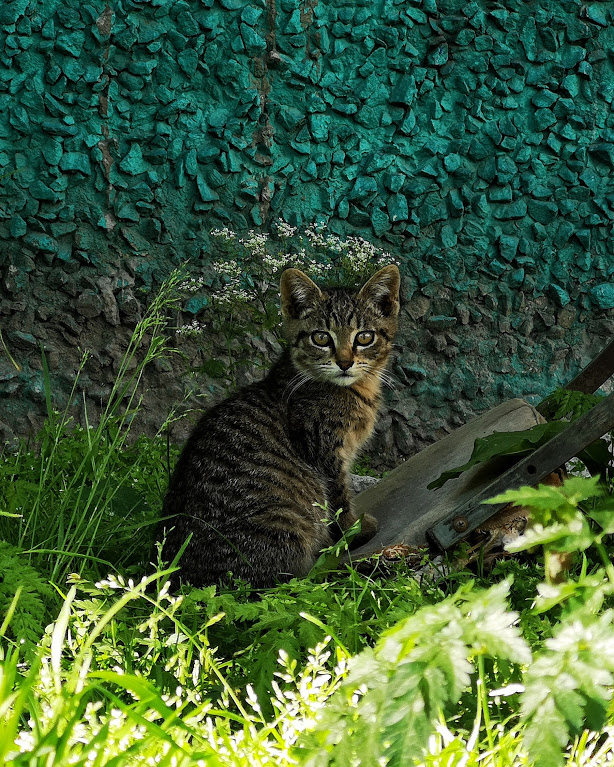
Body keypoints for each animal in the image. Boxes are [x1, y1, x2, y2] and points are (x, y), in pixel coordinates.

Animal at [161, 264, 402, 588]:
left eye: (364, 337)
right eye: (321, 338)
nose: (344, 362)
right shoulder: (323, 450)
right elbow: (339, 497)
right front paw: (354, 530)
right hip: (283, 520)